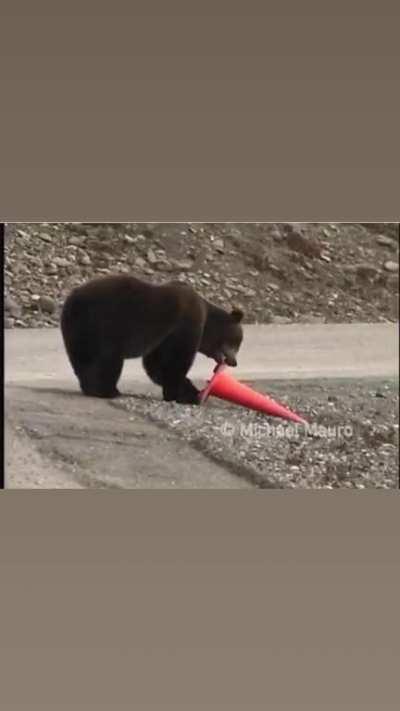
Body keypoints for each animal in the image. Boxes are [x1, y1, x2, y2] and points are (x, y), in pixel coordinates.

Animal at [60, 274, 244, 404]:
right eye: (237, 342)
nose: (234, 362)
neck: (206, 321)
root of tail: (73, 299)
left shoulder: (163, 337)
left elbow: (156, 364)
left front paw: (188, 391)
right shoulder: (184, 325)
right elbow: (176, 360)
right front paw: (185, 395)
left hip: (78, 329)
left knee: (83, 357)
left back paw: (91, 386)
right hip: (106, 323)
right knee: (108, 359)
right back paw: (107, 390)